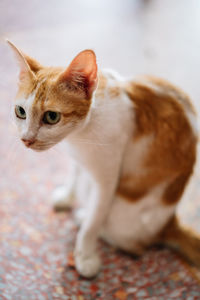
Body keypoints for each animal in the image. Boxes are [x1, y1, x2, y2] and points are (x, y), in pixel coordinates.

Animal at [7, 40, 199, 278]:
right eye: (20, 111)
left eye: (52, 117)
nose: (26, 140)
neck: (80, 133)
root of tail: (170, 224)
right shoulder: (77, 156)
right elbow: (75, 171)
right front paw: (67, 195)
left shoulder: (107, 180)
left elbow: (94, 222)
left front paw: (85, 255)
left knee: (134, 245)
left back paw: (85, 218)